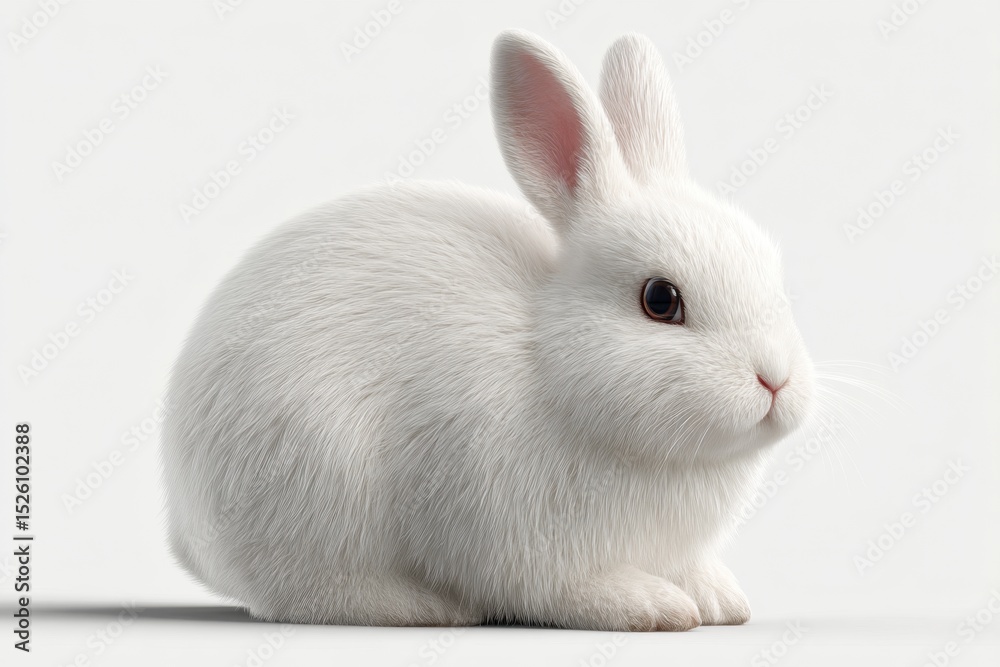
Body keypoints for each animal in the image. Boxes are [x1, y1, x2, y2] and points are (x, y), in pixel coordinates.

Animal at [160, 29, 815, 631]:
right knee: (305, 593)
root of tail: (188, 528)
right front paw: (650, 605)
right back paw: (424, 606)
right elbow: (563, 589)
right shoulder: (522, 538)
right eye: (660, 299)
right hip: (318, 484)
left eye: (770, 267)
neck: (551, 363)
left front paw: (720, 601)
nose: (775, 381)